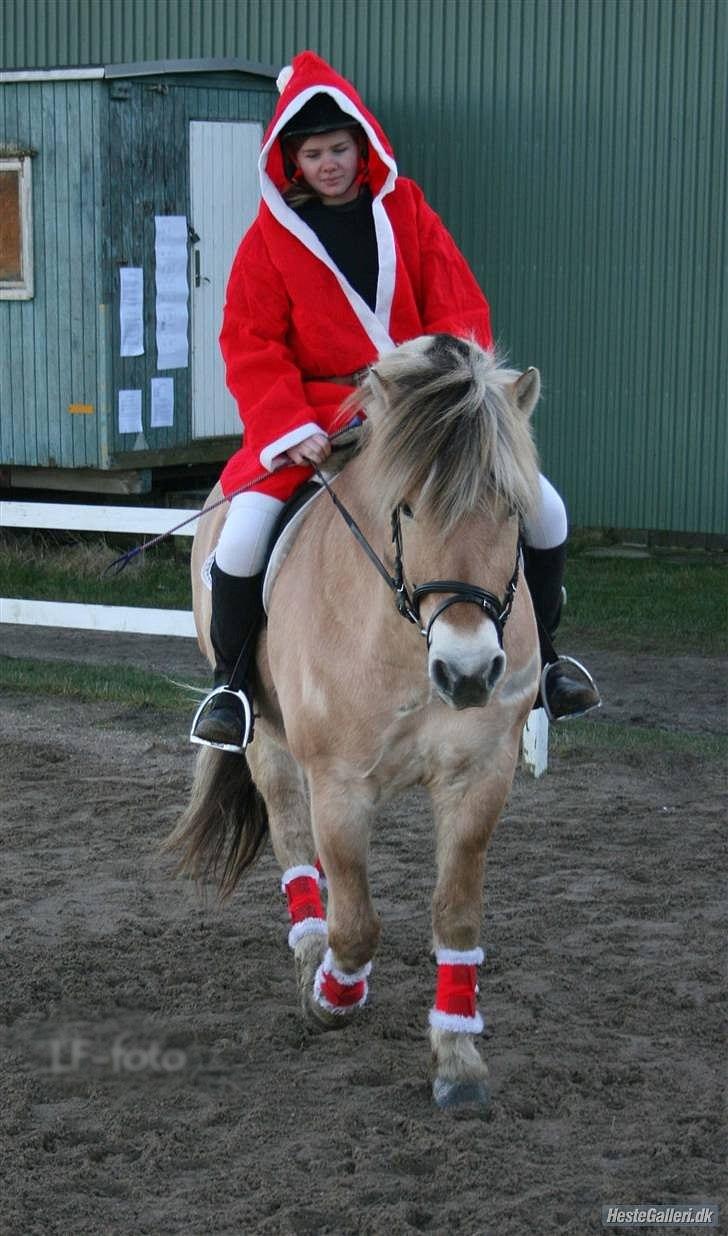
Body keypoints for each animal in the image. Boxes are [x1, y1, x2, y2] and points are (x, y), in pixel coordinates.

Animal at [164, 331, 538, 1112]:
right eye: (407, 509)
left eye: (512, 507)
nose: (467, 672)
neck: (407, 639)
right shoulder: (338, 786)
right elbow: (358, 924)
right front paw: (331, 995)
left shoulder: (480, 777)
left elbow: (457, 913)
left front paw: (458, 1057)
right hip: (269, 743)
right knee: (291, 837)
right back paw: (312, 951)